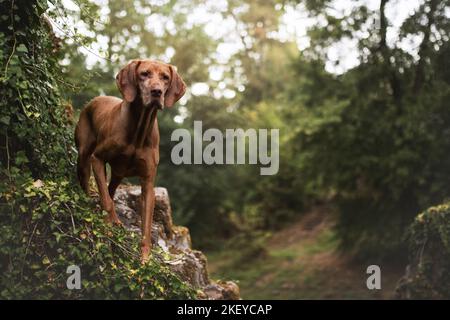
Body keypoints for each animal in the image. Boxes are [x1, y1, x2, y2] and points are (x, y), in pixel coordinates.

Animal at [75, 60, 186, 262]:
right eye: (144, 74)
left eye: (165, 77)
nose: (157, 92)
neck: (139, 129)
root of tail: (94, 100)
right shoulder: (98, 159)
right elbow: (107, 202)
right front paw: (111, 224)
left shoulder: (148, 182)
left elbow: (147, 224)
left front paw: (145, 257)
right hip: (84, 156)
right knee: (89, 184)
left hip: (118, 174)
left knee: (110, 190)